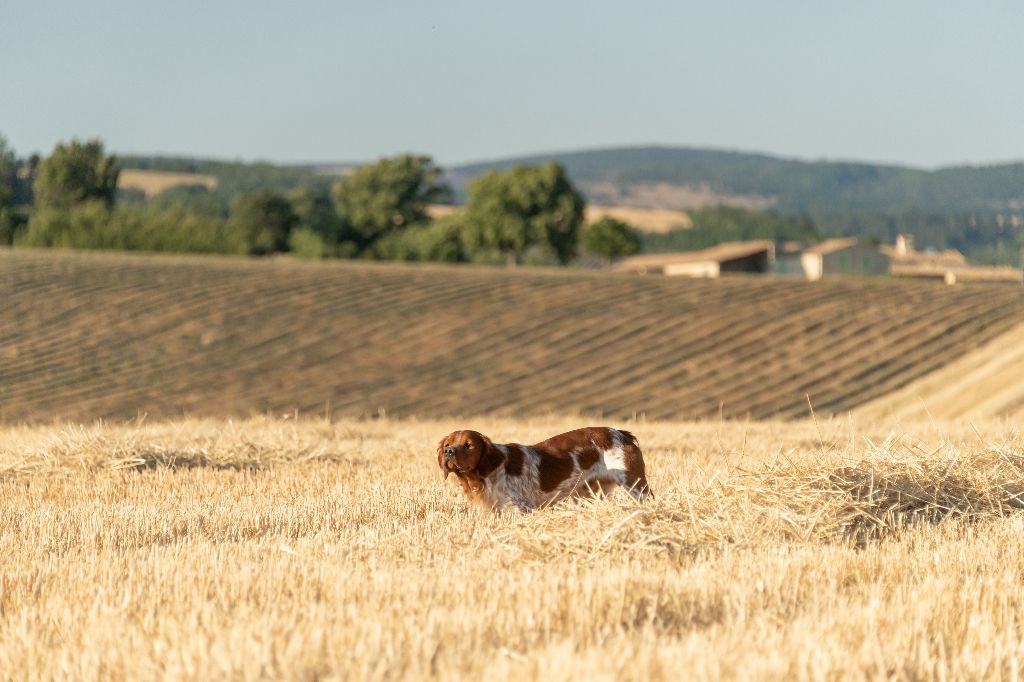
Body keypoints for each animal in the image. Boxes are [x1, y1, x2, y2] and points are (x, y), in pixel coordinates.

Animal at [436, 425, 651, 509]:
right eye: (447, 444)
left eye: (468, 445)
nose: (449, 452)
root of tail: (621, 433)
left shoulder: (520, 507)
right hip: (589, 493)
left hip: (636, 486)